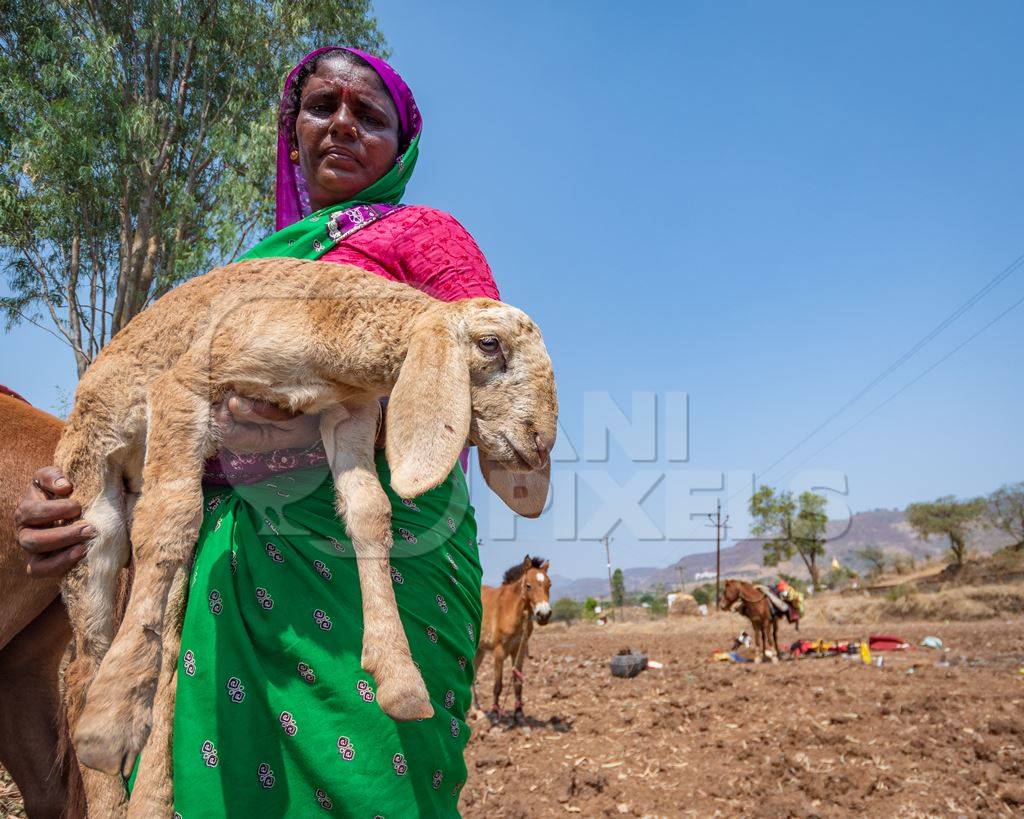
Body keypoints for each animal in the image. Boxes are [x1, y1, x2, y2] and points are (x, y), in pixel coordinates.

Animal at [473, 556, 552, 724]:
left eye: (549, 585)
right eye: (528, 586)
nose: (544, 614)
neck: (510, 610)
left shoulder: (518, 651)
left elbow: (517, 683)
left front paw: (519, 714)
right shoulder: (499, 652)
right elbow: (498, 685)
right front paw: (495, 714)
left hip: (479, 651)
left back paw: (477, 711)